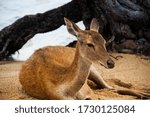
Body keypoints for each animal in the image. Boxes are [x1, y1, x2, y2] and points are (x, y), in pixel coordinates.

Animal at [19, 17, 149, 99]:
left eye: (104, 41)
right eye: (90, 44)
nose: (111, 62)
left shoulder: (89, 92)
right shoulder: (56, 97)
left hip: (94, 70)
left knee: (112, 87)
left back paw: (145, 94)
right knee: (112, 89)